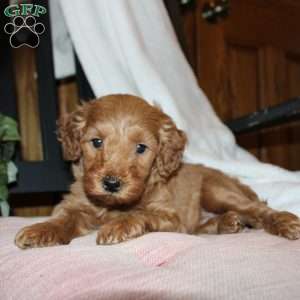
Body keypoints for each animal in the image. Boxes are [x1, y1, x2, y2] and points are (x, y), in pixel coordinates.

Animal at [14, 94, 300, 248]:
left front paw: (117, 226)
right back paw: (227, 223)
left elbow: (140, 214)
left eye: (141, 148)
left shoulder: (168, 217)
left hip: (216, 191)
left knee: (258, 209)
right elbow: (63, 218)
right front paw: (40, 230)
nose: (111, 184)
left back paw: (284, 222)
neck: (113, 205)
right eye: (96, 142)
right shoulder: (76, 205)